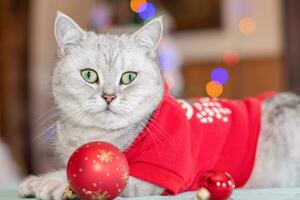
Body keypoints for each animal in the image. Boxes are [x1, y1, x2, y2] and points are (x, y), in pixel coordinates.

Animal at [18, 11, 300, 199]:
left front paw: (50, 183)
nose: (109, 96)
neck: (94, 136)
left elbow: (88, 182)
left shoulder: (152, 177)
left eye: (128, 77)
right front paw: (39, 180)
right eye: (89, 75)